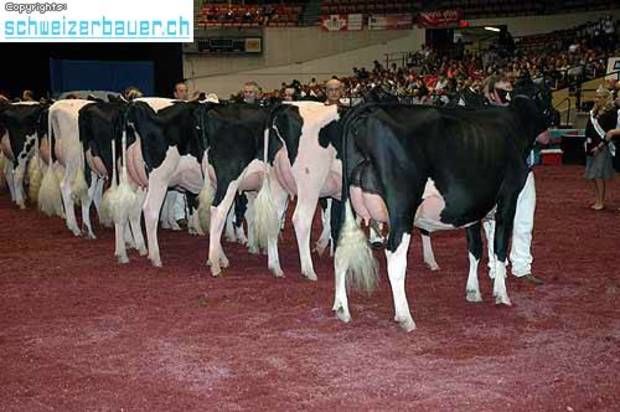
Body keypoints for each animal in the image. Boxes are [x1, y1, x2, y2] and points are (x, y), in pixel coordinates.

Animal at [331, 79, 553, 332]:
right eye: (547, 94)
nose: (555, 115)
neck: (515, 124)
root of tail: (370, 111)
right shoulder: (508, 200)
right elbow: (499, 249)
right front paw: (501, 295)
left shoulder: (473, 209)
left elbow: (475, 249)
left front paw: (473, 291)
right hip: (402, 208)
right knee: (394, 258)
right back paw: (405, 317)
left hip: (349, 204)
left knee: (341, 252)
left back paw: (341, 308)